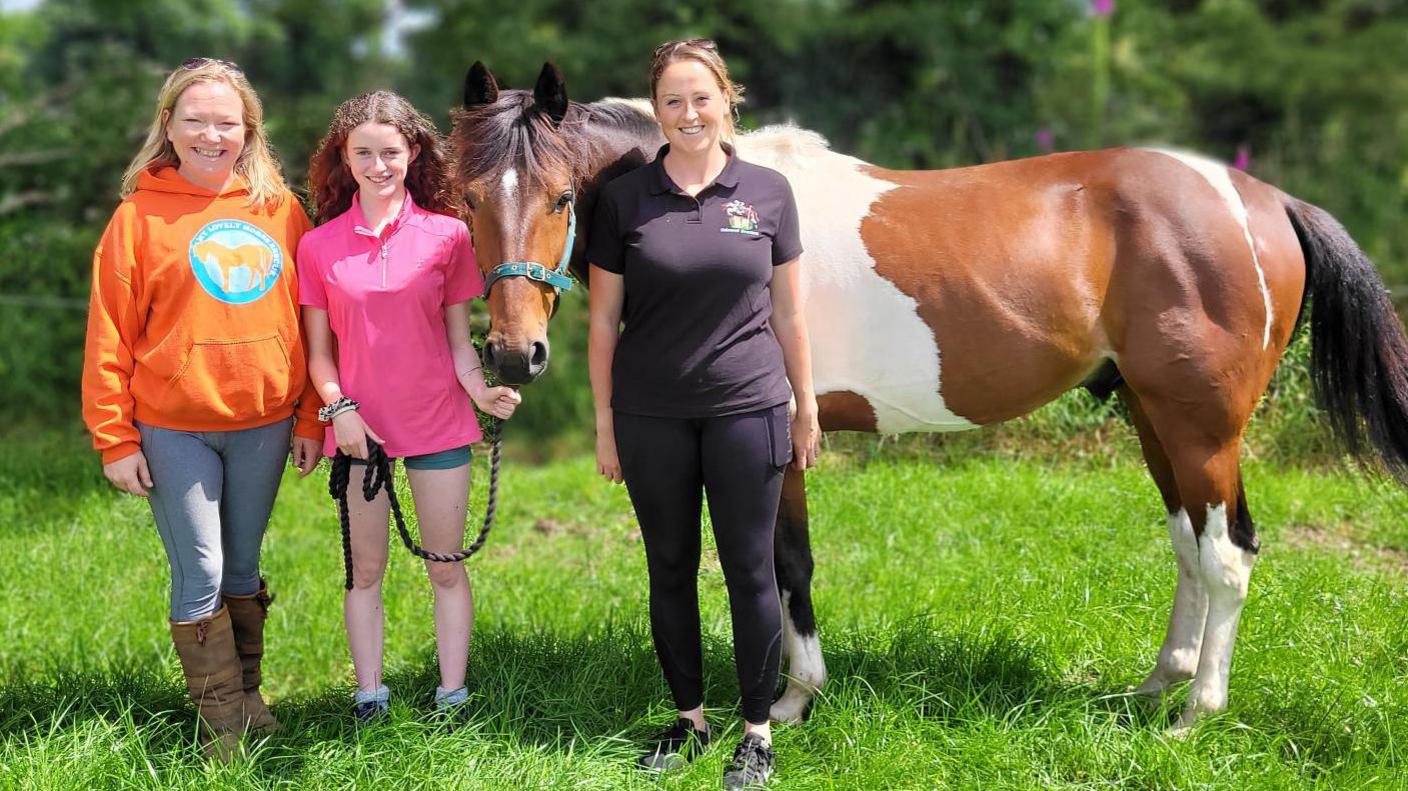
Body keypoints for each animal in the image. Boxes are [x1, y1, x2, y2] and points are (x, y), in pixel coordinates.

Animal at [447, 61, 1408, 726]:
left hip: (1201, 424)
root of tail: (1260, 199)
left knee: (1228, 552)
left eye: (561, 197)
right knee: (1188, 543)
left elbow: (784, 563)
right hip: (1153, 415)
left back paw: (1194, 714)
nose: (513, 355)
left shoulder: (778, 443)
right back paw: (1154, 685)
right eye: (465, 198)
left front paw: (793, 701)